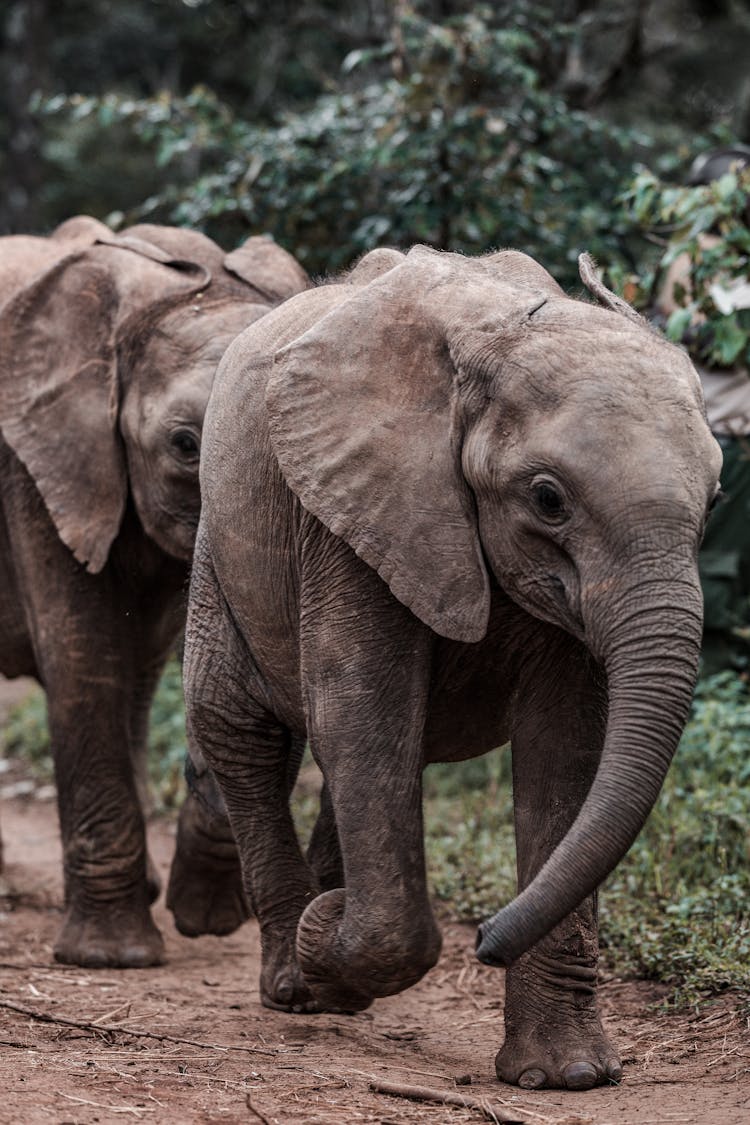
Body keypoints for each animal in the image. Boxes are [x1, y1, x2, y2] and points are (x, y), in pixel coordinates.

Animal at [179, 244, 719, 1089]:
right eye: (548, 498)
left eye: (718, 496)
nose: (487, 938)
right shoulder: (351, 511)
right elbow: (361, 710)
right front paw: (323, 935)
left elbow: (568, 749)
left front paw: (566, 1076)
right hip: (220, 544)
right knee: (244, 731)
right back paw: (297, 982)